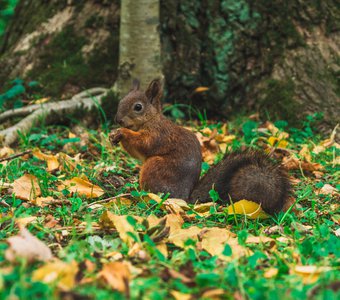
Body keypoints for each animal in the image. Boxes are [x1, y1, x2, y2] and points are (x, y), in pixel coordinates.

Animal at [110, 78, 290, 214]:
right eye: (120, 101)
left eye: (138, 107)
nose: (118, 120)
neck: (151, 119)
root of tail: (184, 198)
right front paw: (113, 135)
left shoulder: (158, 134)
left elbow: (144, 144)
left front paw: (122, 132)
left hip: (154, 167)